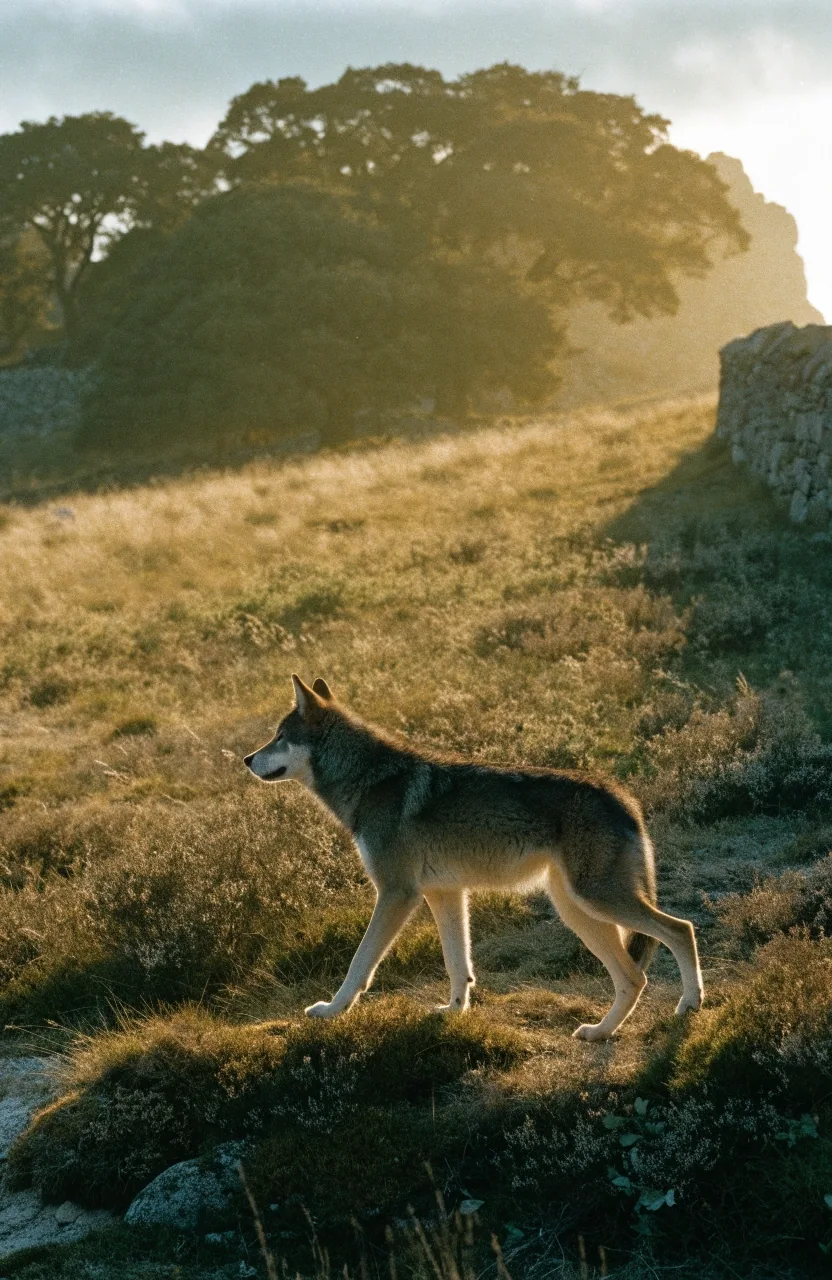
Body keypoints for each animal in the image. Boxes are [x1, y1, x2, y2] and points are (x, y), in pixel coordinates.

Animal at [243, 676, 703, 1040]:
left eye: (279, 736)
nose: (247, 759)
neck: (368, 780)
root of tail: (625, 798)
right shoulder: (446, 893)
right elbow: (457, 963)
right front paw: (454, 1010)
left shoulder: (397, 894)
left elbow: (360, 964)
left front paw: (331, 1010)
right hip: (579, 912)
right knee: (633, 976)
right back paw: (600, 1032)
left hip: (597, 901)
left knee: (679, 931)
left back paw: (689, 1004)